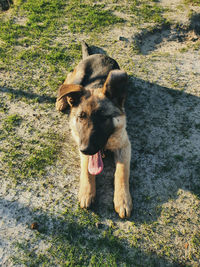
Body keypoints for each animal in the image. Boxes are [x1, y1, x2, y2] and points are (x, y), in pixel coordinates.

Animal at [55, 41, 132, 218]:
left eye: (103, 118)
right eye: (81, 117)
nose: (86, 149)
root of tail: (95, 55)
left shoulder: (124, 146)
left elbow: (122, 172)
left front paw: (123, 199)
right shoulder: (81, 143)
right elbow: (87, 170)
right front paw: (86, 192)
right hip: (78, 77)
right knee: (68, 80)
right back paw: (61, 101)